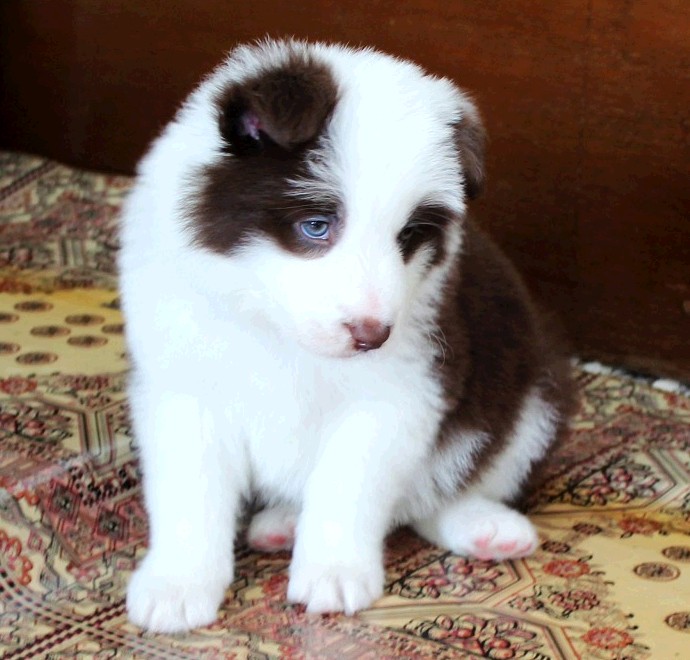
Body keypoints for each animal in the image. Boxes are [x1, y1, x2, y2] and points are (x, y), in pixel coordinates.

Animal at [121, 37, 572, 636]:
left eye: (409, 235)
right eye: (317, 226)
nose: (372, 335)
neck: (275, 327)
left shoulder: (403, 392)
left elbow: (349, 482)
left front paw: (333, 573)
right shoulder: (182, 384)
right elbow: (189, 491)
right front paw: (177, 585)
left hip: (534, 395)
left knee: (442, 487)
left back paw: (486, 527)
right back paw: (283, 522)